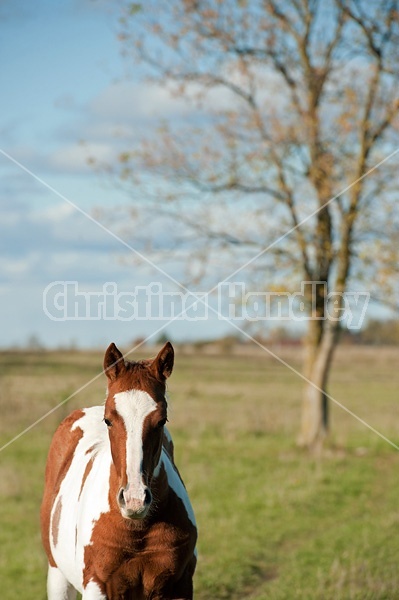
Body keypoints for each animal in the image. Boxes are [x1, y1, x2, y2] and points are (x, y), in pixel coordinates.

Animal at [40, 342, 197, 600]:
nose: (134, 500)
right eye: (108, 420)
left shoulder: (180, 586)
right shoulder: (97, 585)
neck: (137, 530)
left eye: (162, 421)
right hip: (57, 575)